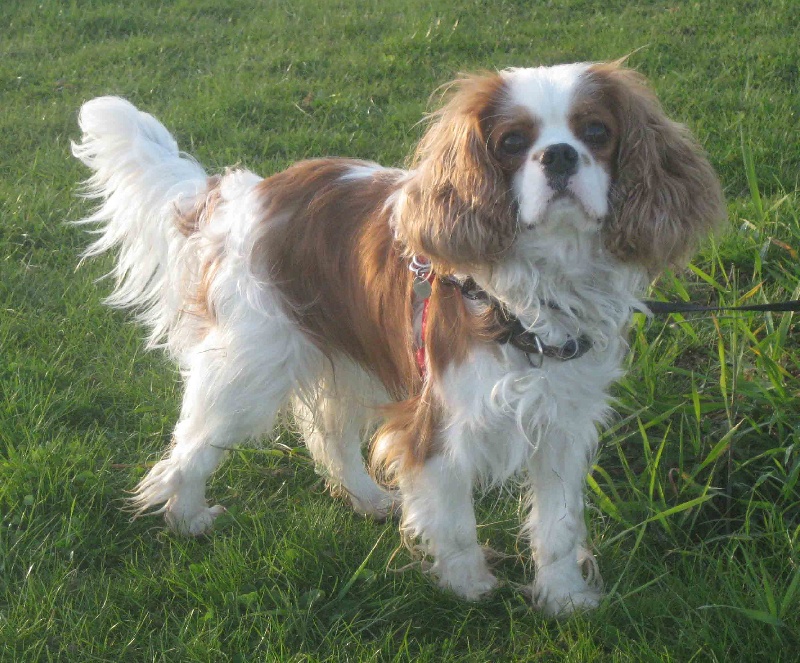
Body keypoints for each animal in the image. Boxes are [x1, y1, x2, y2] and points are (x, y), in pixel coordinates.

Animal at [72, 61, 725, 615]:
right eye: (513, 142)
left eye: (596, 131)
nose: (561, 155)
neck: (536, 292)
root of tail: (241, 195)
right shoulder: (440, 425)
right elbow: (454, 519)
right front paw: (469, 586)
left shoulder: (562, 422)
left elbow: (559, 526)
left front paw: (563, 598)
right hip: (249, 367)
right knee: (192, 445)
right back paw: (185, 515)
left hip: (345, 357)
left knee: (326, 433)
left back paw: (364, 497)